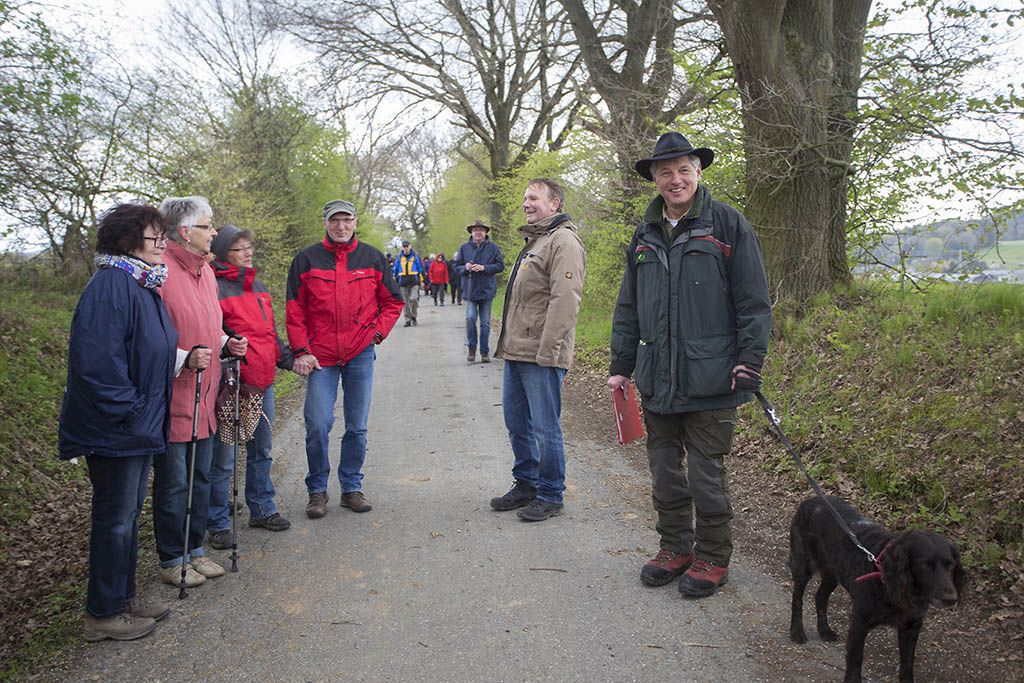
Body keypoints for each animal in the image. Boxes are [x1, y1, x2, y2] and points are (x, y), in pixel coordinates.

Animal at [786, 497, 962, 683]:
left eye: (951, 564)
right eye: (925, 565)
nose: (951, 599)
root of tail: (811, 500)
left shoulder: (911, 626)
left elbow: (907, 665)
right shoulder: (859, 623)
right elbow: (855, 661)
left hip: (832, 573)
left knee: (820, 597)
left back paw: (824, 630)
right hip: (804, 565)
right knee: (797, 599)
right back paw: (797, 632)